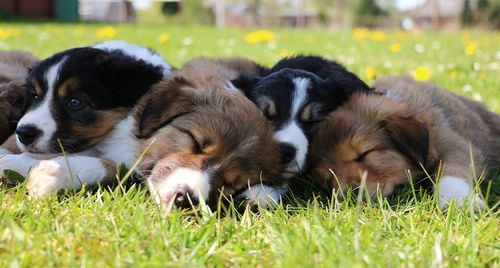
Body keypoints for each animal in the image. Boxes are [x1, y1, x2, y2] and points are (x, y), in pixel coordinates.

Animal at [308, 76, 500, 209]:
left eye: (363, 155)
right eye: (326, 179)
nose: (350, 198)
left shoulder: (454, 145)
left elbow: (451, 172)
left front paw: (460, 201)